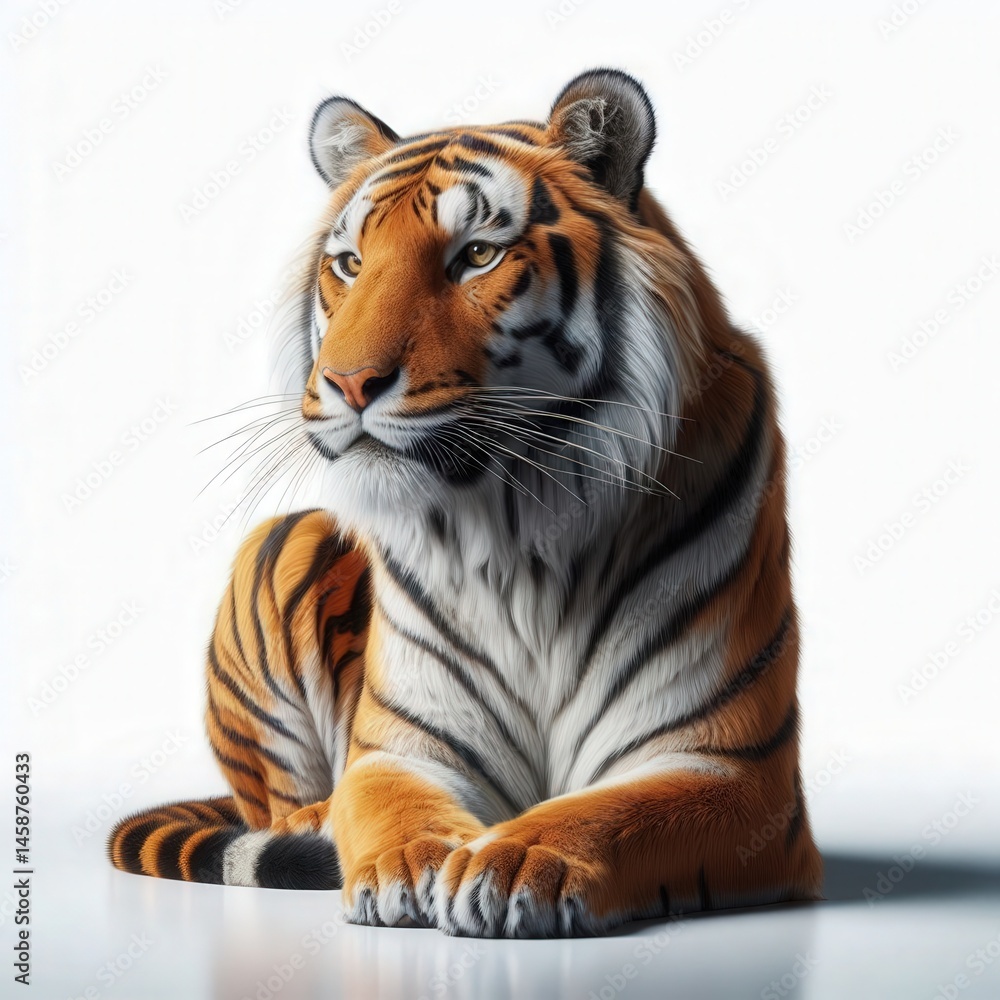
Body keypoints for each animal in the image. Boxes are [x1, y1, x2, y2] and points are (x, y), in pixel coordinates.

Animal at [108, 68, 823, 938]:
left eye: (476, 255)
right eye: (350, 263)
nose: (347, 383)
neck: (521, 528)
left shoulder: (731, 767)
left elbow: (612, 811)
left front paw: (514, 861)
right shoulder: (403, 747)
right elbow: (389, 804)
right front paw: (408, 864)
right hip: (280, 542)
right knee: (272, 806)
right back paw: (315, 823)